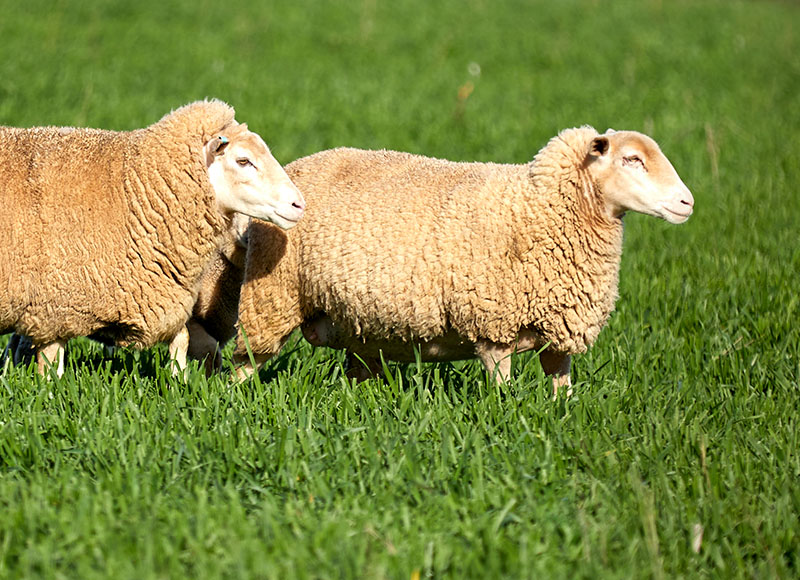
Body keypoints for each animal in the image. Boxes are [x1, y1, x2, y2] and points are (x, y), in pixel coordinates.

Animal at [0, 100, 305, 377]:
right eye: (243, 161)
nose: (298, 204)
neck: (134, 191)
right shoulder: (53, 310)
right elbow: (52, 371)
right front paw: (49, 393)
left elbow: (183, 341)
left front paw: (181, 384)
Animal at [232, 127, 694, 394]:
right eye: (632, 159)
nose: (687, 202)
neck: (541, 206)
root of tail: (297, 167)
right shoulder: (494, 327)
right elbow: (503, 394)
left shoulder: (557, 333)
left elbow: (561, 391)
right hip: (269, 300)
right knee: (244, 362)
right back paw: (237, 405)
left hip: (357, 325)